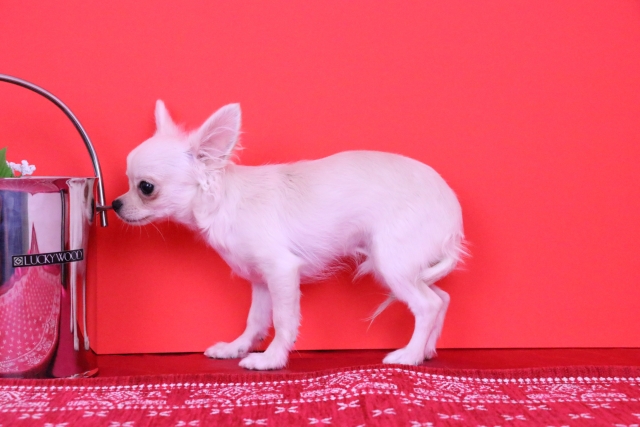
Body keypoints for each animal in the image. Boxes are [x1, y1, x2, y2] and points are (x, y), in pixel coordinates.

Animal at [112, 101, 465, 370]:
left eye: (146, 188)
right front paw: (237, 348)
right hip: (409, 265)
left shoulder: (281, 271)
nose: (115, 204)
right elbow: (256, 321)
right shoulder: (261, 280)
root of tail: (453, 215)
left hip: (391, 261)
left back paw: (410, 355)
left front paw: (270, 359)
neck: (223, 201)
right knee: (443, 299)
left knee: (428, 305)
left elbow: (283, 320)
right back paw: (427, 350)